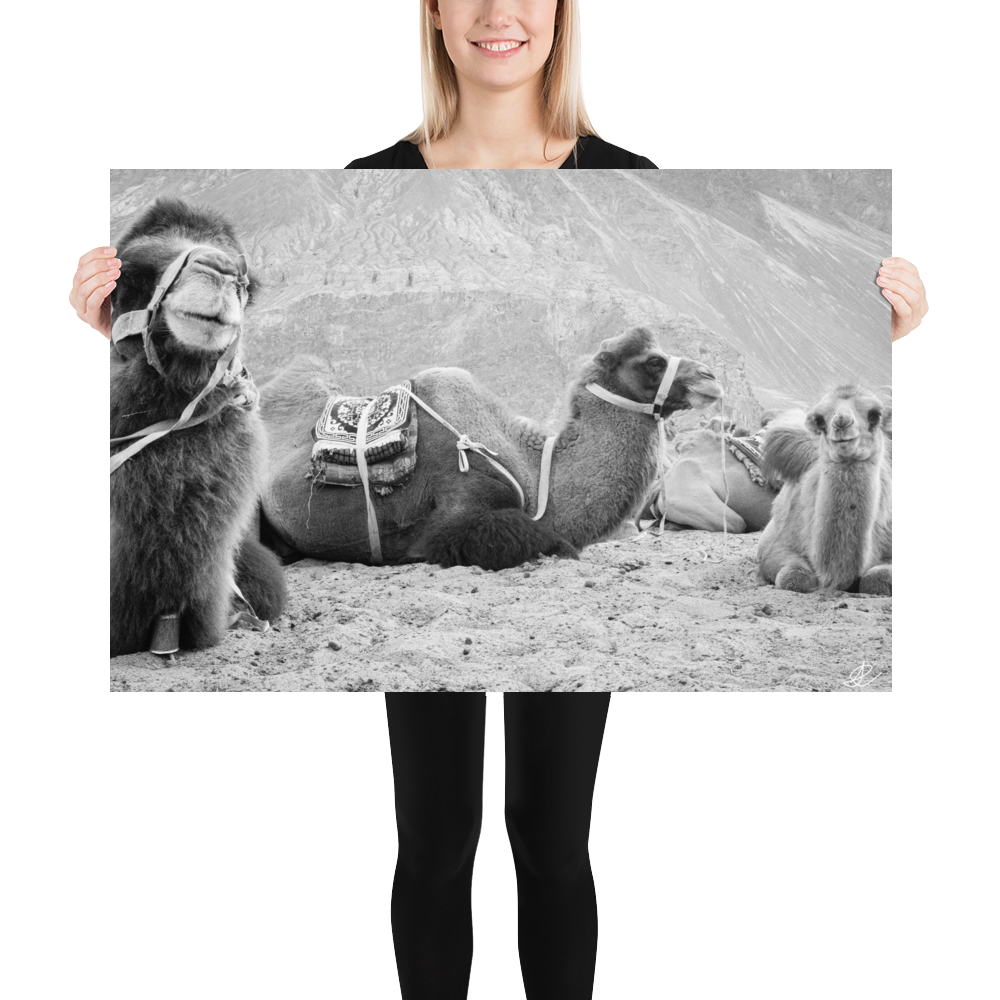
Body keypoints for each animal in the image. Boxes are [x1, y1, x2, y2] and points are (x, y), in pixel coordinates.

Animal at [756, 384, 892, 592]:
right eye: (820, 420)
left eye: (875, 415)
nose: (841, 422)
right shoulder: (779, 547)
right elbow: (794, 576)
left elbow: (878, 579)